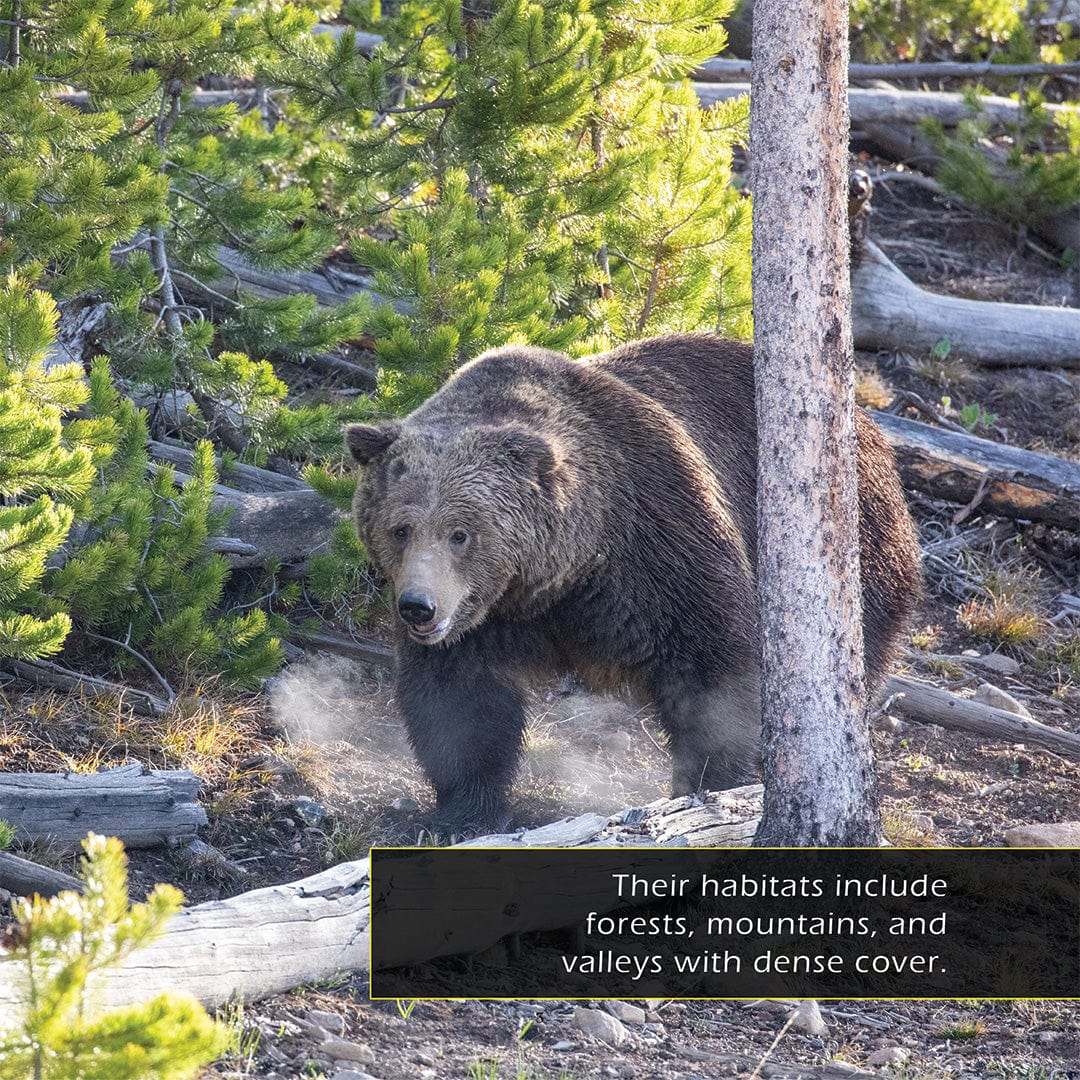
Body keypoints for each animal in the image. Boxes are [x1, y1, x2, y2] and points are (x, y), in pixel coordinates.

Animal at [346, 334, 921, 831]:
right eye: (400, 528)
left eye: (460, 533)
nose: (418, 606)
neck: (564, 573)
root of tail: (871, 428)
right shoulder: (483, 622)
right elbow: (460, 703)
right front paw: (464, 812)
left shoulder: (657, 541)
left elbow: (716, 667)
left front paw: (711, 787)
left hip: (862, 551)